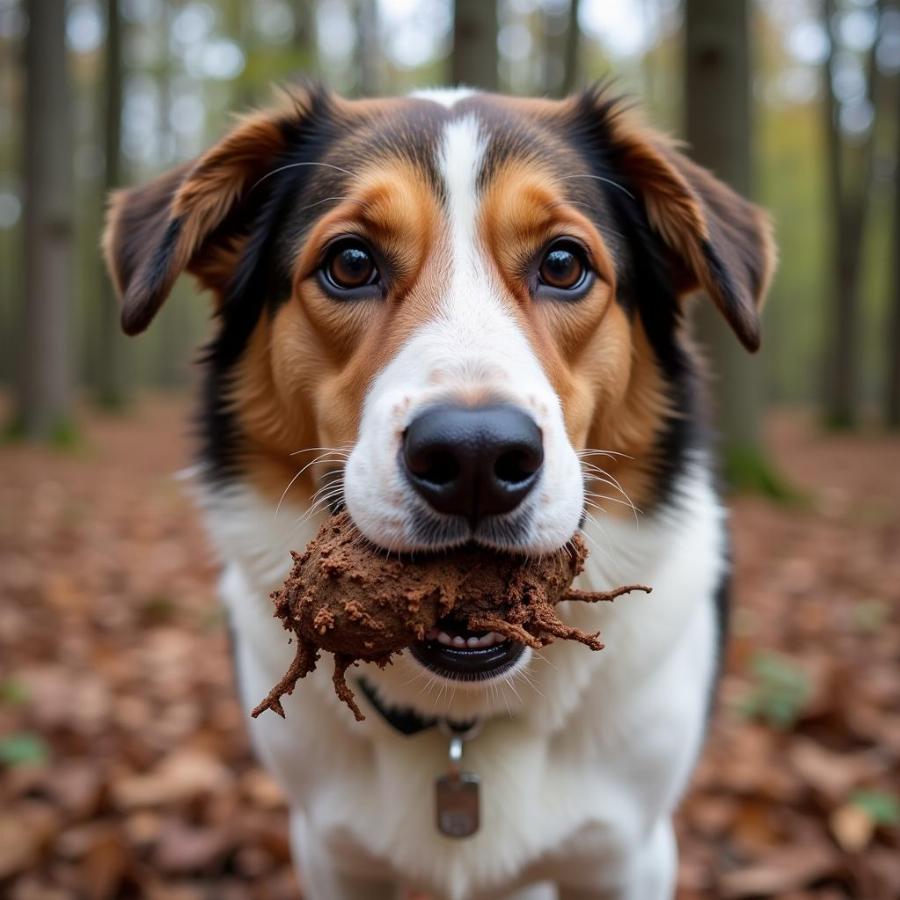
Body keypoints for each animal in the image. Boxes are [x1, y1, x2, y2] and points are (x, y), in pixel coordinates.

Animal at [103, 86, 772, 900]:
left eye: (564, 264)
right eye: (350, 262)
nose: (476, 456)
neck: (461, 725)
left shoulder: (627, 854)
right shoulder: (330, 852)